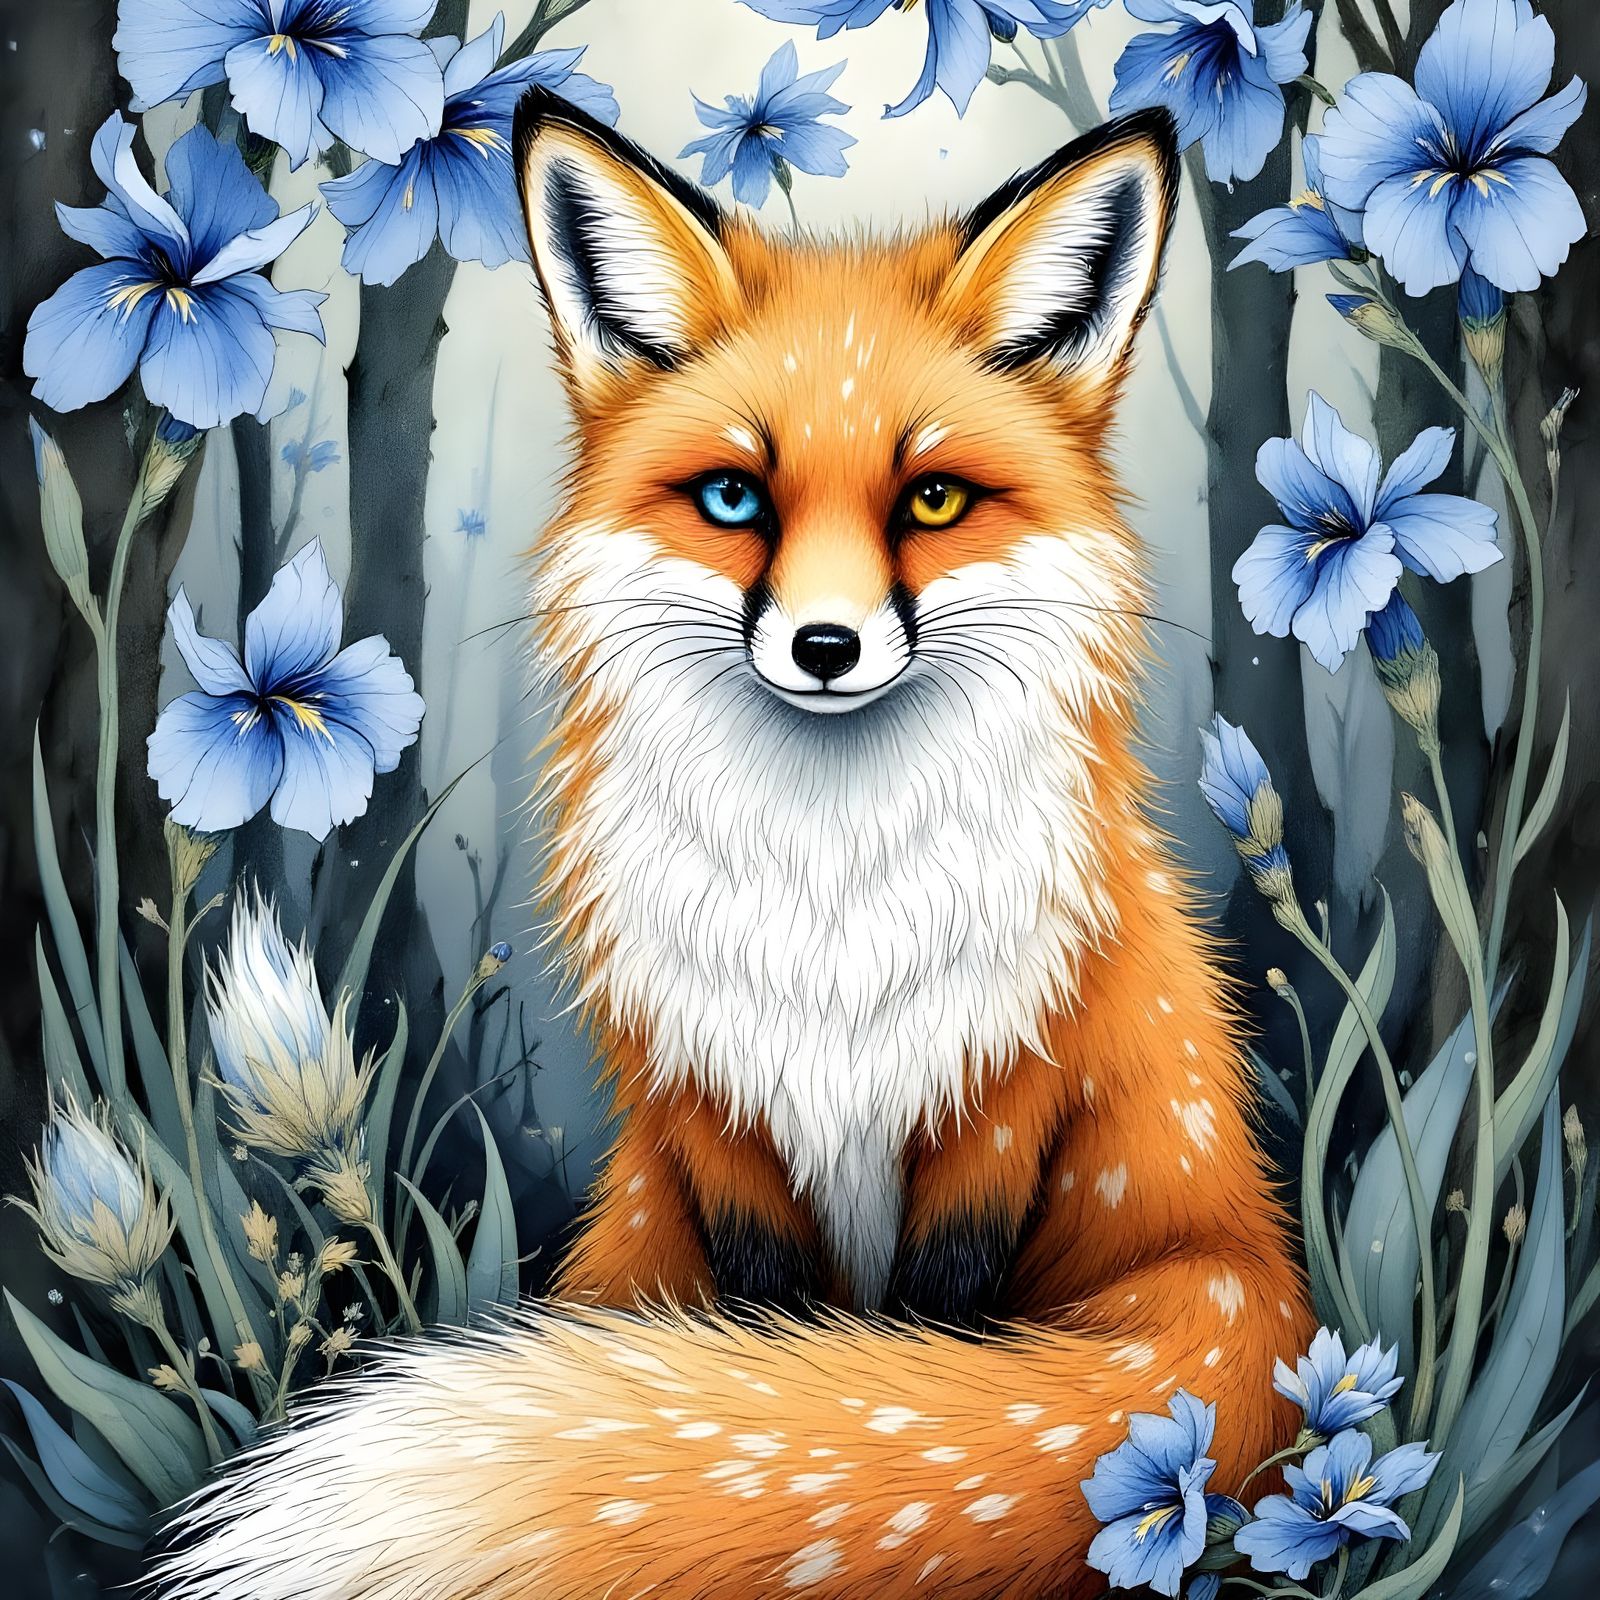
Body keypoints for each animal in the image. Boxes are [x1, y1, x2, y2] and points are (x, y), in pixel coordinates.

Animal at [154, 89, 1315, 1600]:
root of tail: (1254, 1256)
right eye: (733, 500)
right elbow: (766, 1326)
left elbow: (926, 1335)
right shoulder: (713, 1105)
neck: (832, 902)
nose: (824, 646)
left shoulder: (1001, 1099)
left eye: (931, 502)